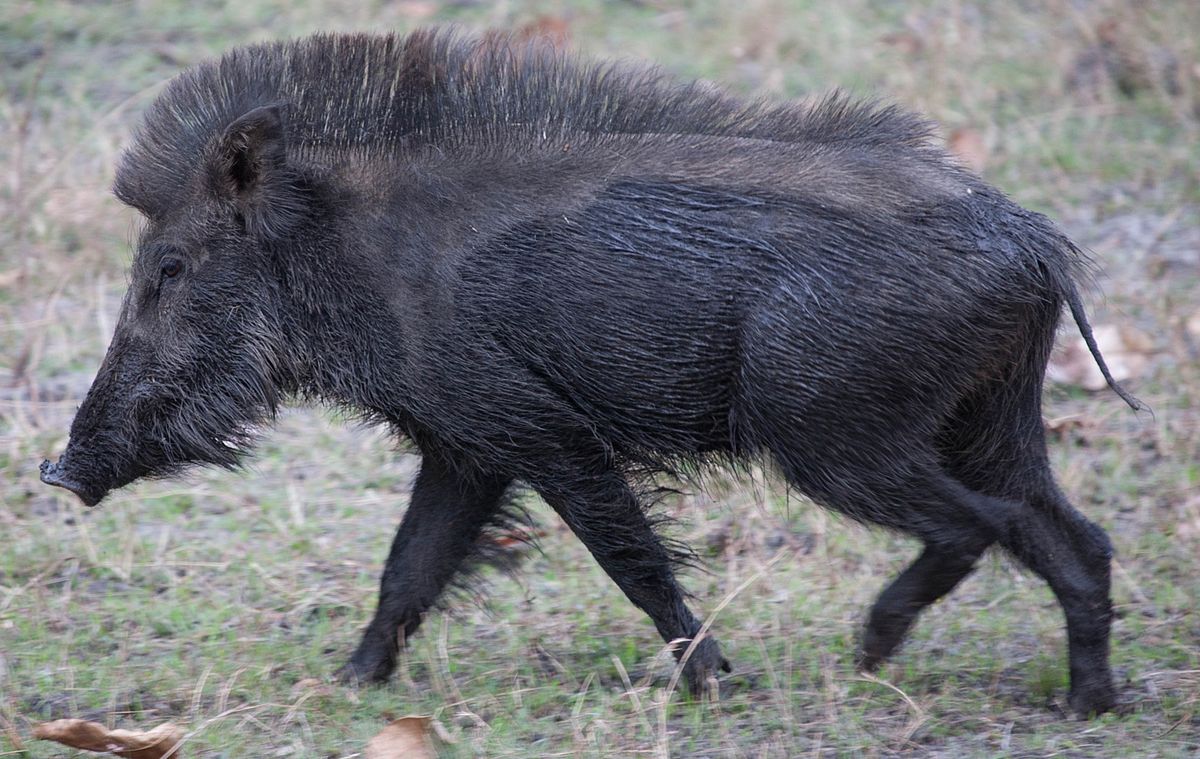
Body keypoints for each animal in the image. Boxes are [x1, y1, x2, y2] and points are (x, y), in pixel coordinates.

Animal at [40, 29, 1140, 716]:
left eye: (170, 267)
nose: (57, 470)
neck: (354, 257)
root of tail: (1034, 244)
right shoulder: (467, 447)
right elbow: (409, 569)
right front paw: (342, 687)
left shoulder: (542, 429)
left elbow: (632, 560)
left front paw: (714, 682)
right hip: (988, 420)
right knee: (1075, 538)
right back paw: (1084, 704)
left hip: (835, 431)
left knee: (977, 527)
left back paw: (868, 652)